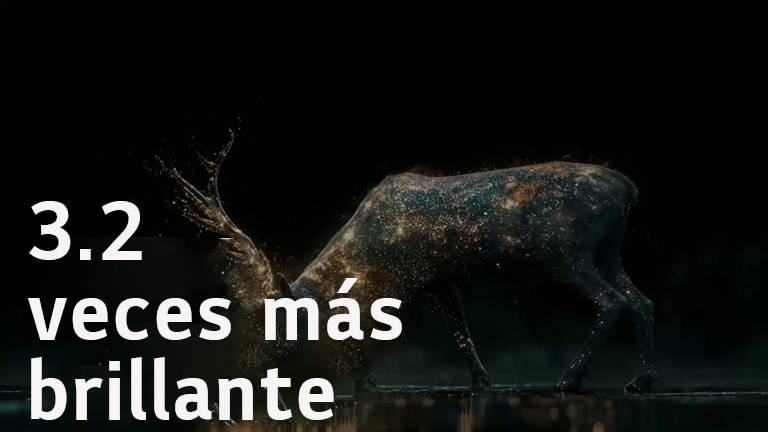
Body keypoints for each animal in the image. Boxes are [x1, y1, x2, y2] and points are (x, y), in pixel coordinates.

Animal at [161, 132, 658, 399]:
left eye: (280, 326)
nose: (243, 374)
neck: (363, 251)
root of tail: (628, 189)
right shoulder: (440, 278)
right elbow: (461, 332)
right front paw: (482, 384)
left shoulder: (411, 274)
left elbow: (366, 327)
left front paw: (366, 385)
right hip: (607, 251)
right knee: (642, 301)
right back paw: (640, 380)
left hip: (566, 252)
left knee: (612, 302)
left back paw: (570, 378)